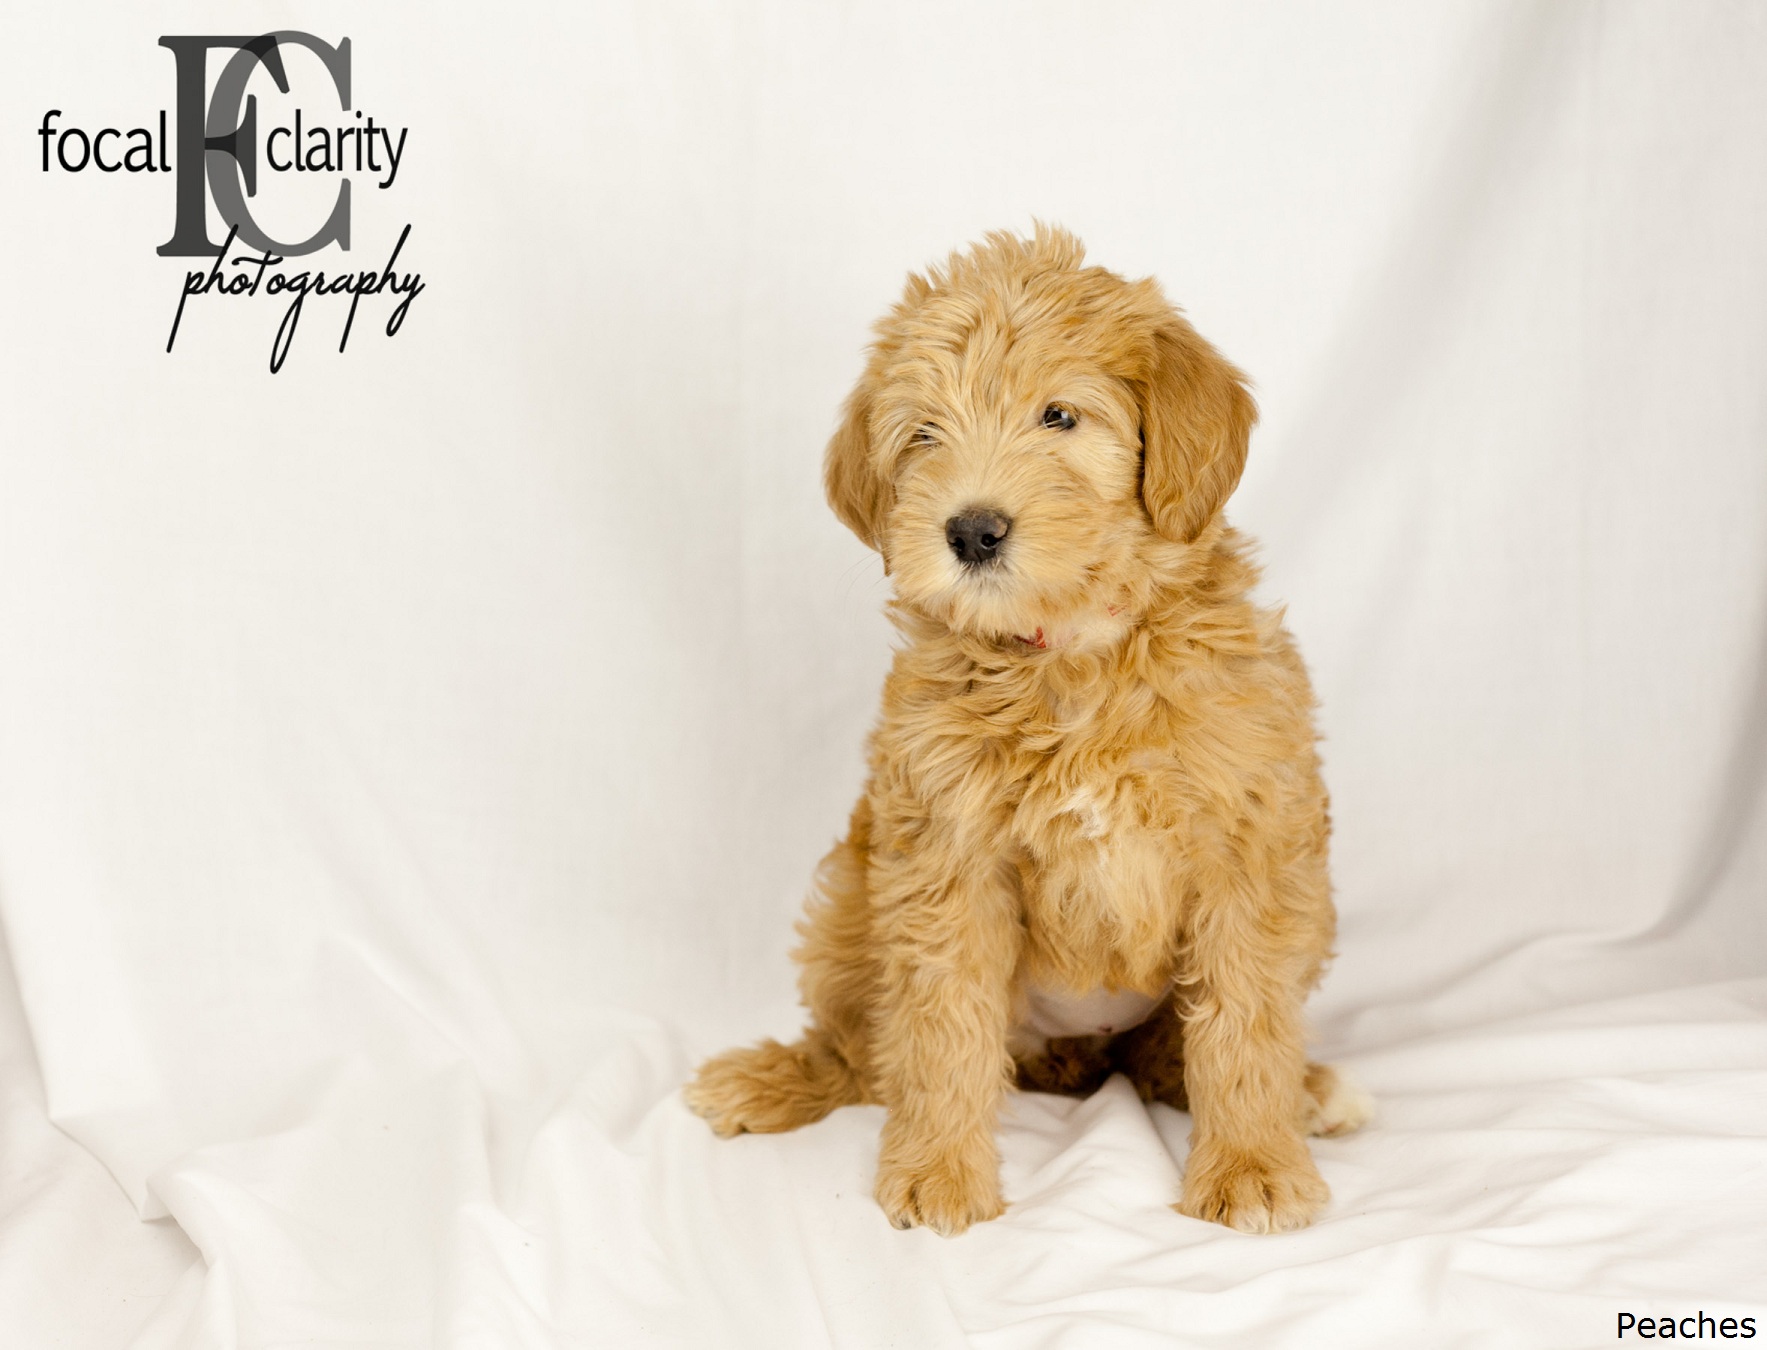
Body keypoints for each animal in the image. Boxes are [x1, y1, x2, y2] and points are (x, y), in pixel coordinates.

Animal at [685, 229, 1364, 1236]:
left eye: (1058, 417)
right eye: (923, 435)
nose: (971, 530)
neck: (1070, 658)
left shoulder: (1248, 844)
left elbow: (1243, 1019)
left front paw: (1250, 1164)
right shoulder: (945, 855)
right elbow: (940, 1026)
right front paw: (938, 1169)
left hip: (1305, 913)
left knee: (1177, 1047)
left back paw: (1306, 1092)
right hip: (852, 895)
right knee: (861, 1047)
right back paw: (771, 1078)